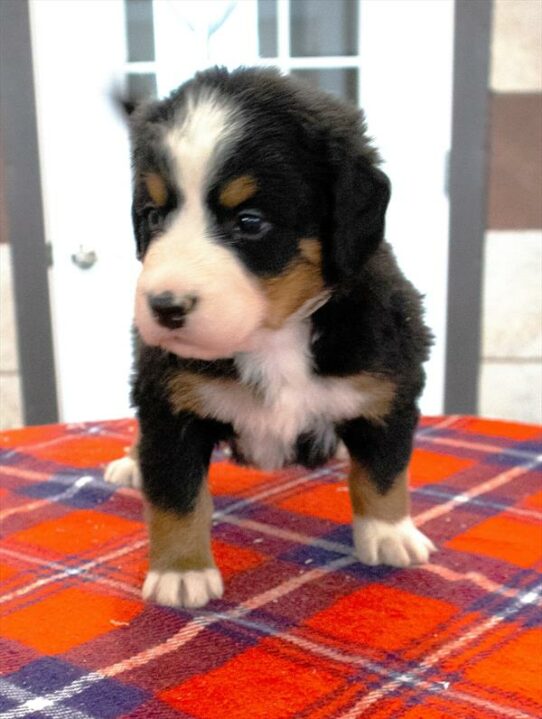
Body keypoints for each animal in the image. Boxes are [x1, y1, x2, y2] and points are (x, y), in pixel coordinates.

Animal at [106, 66, 438, 608]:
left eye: (250, 222)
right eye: (154, 215)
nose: (164, 306)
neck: (274, 336)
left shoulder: (389, 387)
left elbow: (384, 470)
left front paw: (390, 533)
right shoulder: (168, 404)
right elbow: (176, 492)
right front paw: (181, 572)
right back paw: (132, 464)